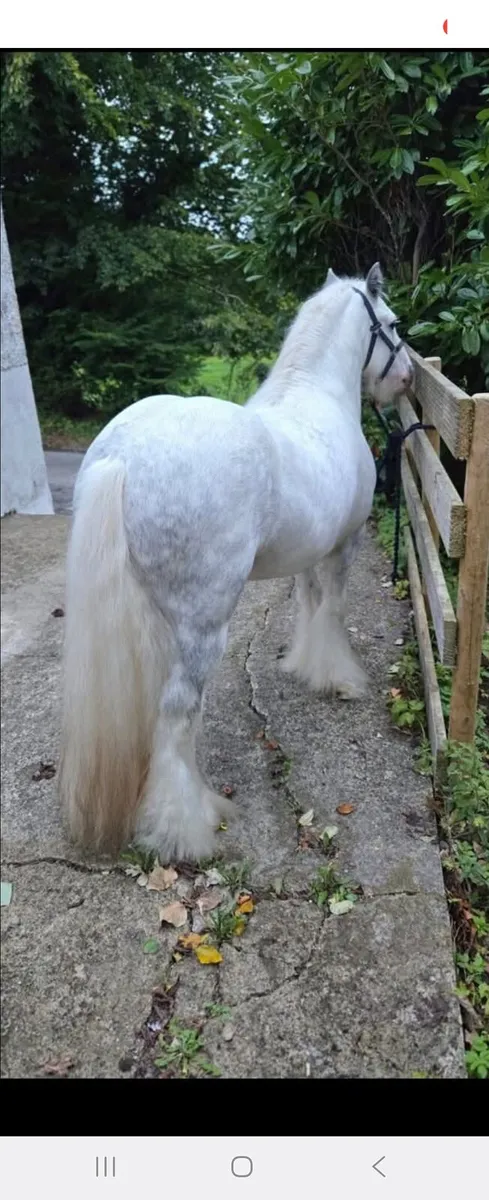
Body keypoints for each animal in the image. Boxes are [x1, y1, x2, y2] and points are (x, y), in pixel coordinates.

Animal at [59, 262, 414, 864]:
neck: (316, 397)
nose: (408, 377)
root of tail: (123, 456)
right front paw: (338, 678)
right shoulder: (343, 546)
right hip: (205, 624)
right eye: (391, 324)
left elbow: (308, 603)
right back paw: (188, 829)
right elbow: (334, 610)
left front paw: (303, 665)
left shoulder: (307, 552)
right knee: (177, 712)